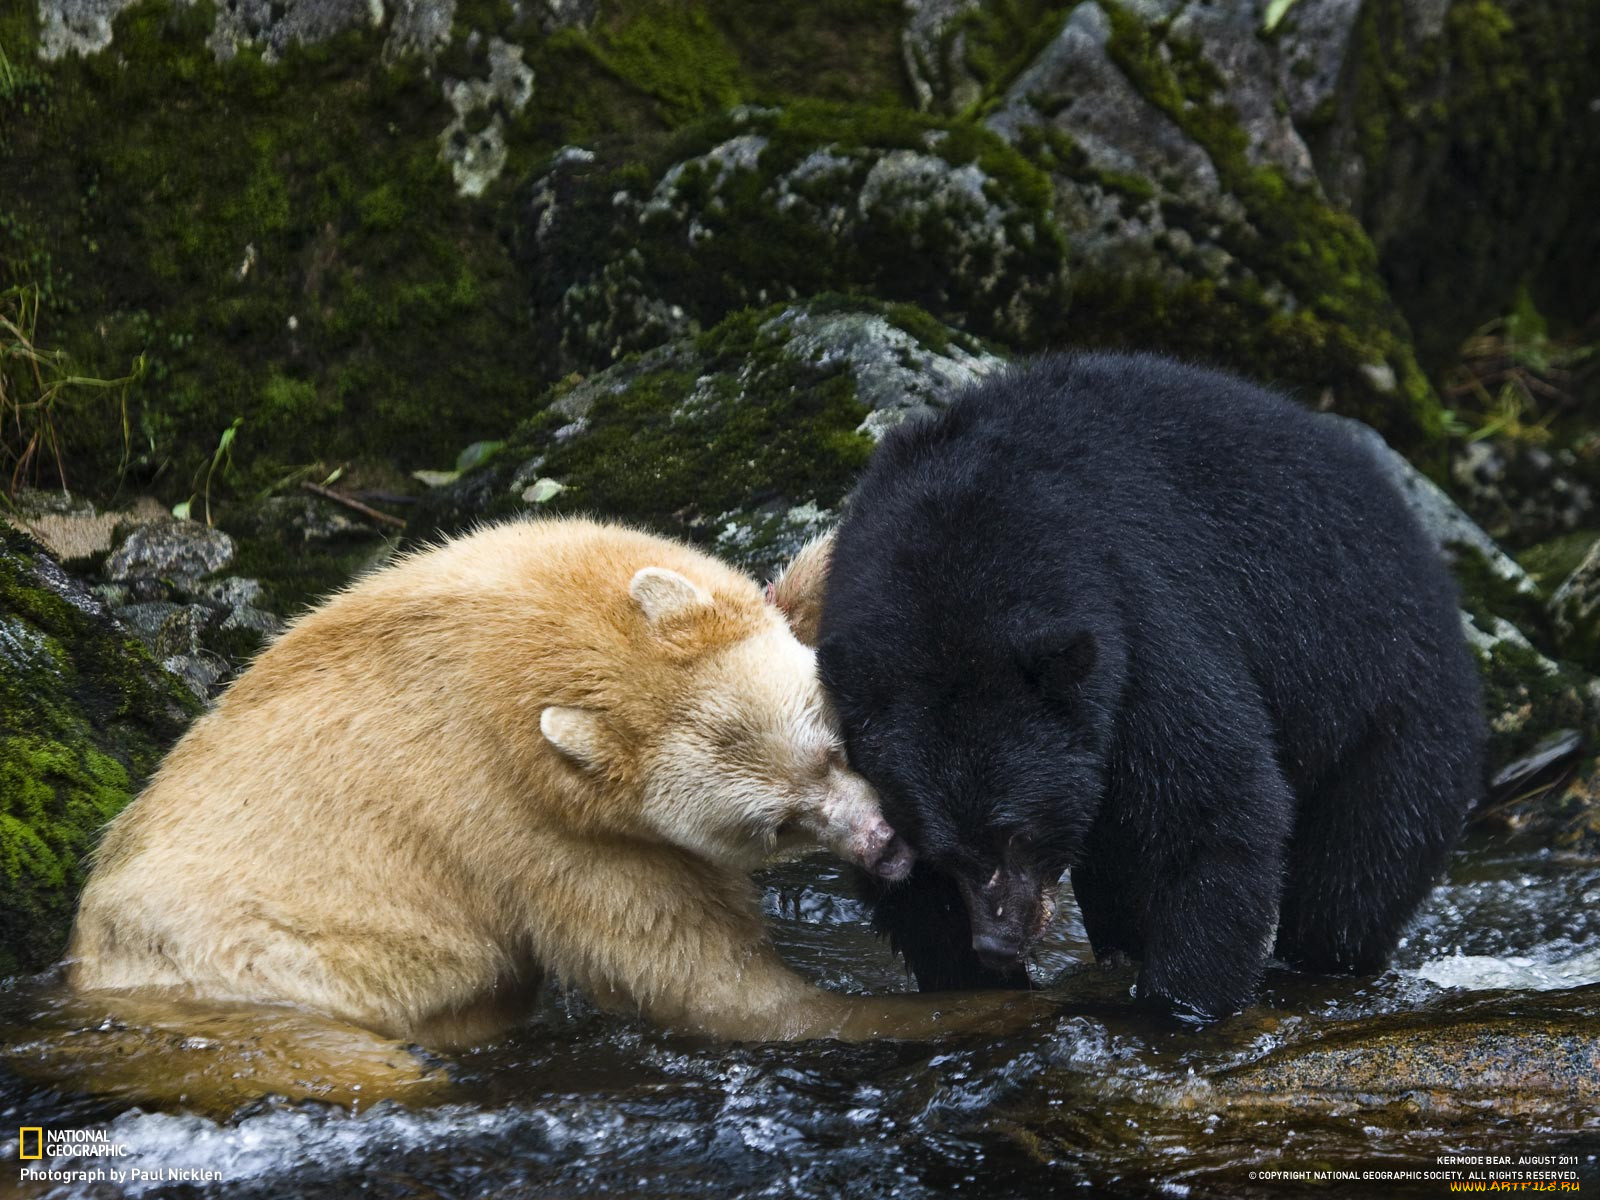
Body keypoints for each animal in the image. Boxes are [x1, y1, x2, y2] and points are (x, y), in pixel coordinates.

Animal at [812, 352, 1484, 1017]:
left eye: (1020, 832)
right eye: (943, 849)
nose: (999, 942)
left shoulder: (1139, 620)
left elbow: (1215, 801)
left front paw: (1177, 1003)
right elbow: (905, 887)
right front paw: (972, 981)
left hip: (1394, 712)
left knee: (1354, 872)